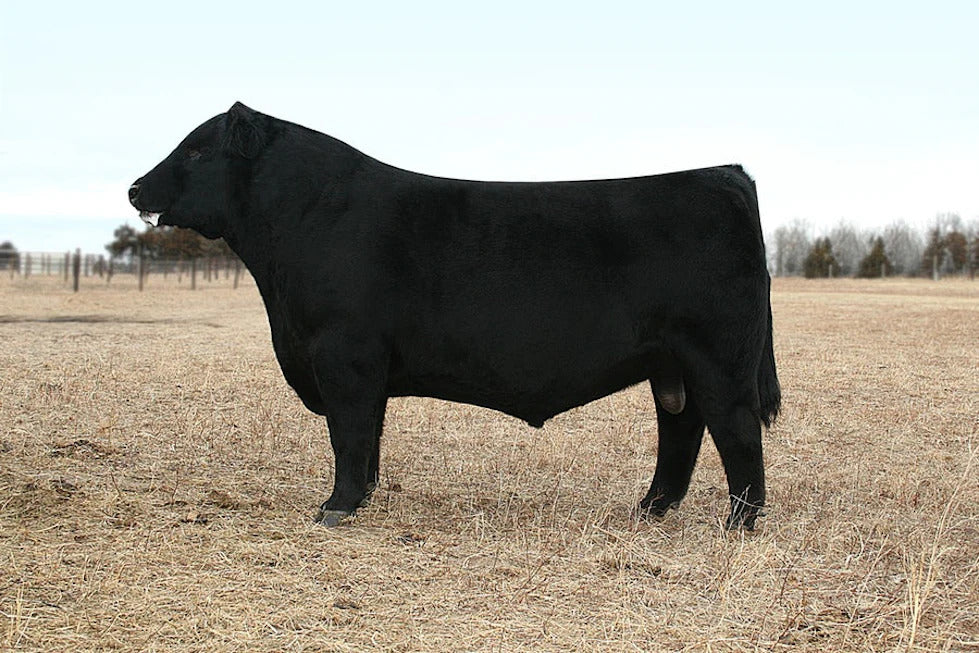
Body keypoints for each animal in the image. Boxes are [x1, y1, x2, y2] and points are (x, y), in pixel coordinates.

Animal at [129, 102, 780, 530]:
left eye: (197, 147)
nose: (136, 188)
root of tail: (725, 174)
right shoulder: (367, 367)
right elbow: (369, 435)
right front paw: (364, 497)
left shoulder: (344, 356)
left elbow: (348, 431)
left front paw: (336, 507)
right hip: (672, 363)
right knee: (682, 429)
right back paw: (648, 510)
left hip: (718, 359)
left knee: (737, 431)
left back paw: (738, 527)